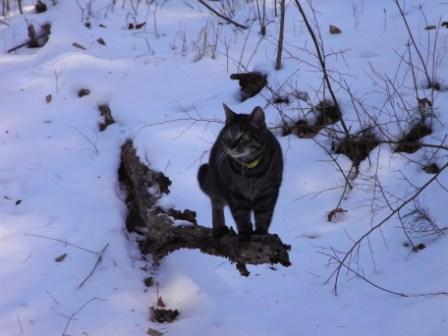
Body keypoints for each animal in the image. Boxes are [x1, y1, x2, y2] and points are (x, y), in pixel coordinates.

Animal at [197, 103, 282, 240]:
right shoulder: (234, 192)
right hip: (213, 181)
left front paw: (261, 232)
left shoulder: (269, 190)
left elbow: (264, 214)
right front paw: (244, 232)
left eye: (242, 137)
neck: (251, 171)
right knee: (216, 203)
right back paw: (219, 228)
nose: (231, 146)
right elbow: (240, 214)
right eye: (227, 137)